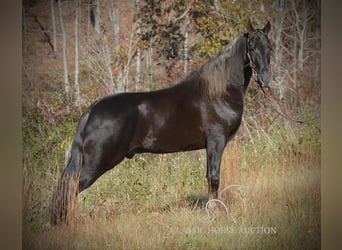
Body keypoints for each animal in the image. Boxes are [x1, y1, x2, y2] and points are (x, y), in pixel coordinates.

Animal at [49, 21, 272, 225]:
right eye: (252, 47)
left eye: (270, 47)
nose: (266, 79)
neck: (218, 93)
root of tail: (92, 110)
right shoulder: (216, 141)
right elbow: (214, 178)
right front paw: (216, 210)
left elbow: (210, 176)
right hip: (98, 162)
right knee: (69, 187)